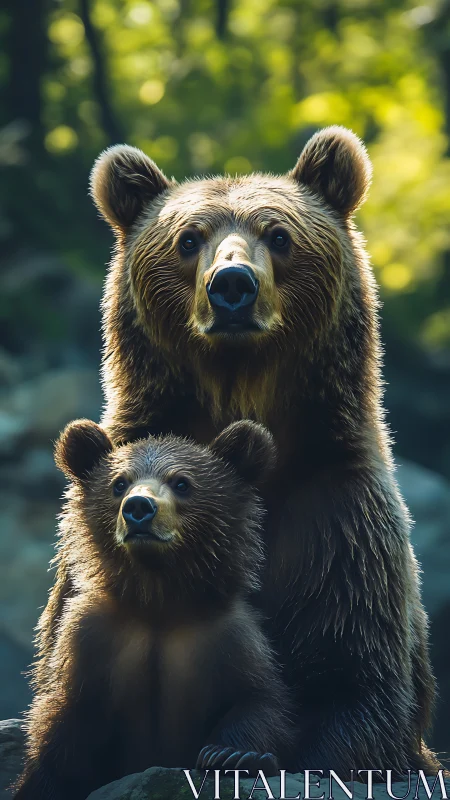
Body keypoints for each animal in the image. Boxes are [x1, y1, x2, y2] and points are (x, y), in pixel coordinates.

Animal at [15, 419, 294, 800]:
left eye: (182, 482)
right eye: (119, 483)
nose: (138, 507)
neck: (157, 603)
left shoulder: (229, 638)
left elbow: (259, 700)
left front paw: (232, 755)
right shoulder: (89, 639)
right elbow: (62, 730)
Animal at [36, 126, 439, 775]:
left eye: (279, 236)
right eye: (188, 239)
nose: (231, 285)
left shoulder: (337, 517)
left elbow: (356, 688)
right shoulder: (85, 548)